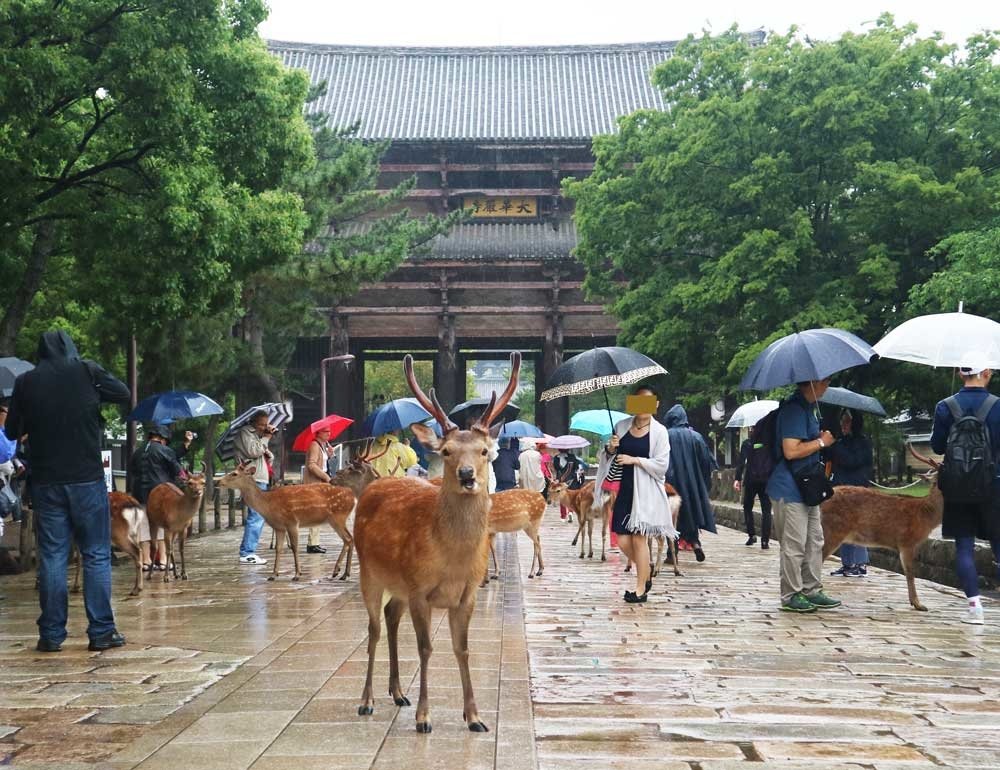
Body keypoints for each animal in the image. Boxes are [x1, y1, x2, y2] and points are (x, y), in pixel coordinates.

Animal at [218, 462, 356, 584]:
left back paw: (338, 572)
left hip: (338, 517)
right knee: (350, 539)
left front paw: (297, 575)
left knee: (348, 539)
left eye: (234, 473)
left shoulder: (292, 522)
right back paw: (344, 574)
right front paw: (273, 575)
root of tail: (353, 498)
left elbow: (294, 547)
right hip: (337, 519)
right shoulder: (279, 527)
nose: (218, 482)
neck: (268, 505)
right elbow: (278, 548)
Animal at [354, 352, 524, 728]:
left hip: (398, 585)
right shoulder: (420, 590)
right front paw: (423, 717)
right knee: (373, 628)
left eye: (484, 451)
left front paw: (474, 716)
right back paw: (367, 700)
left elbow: (462, 648)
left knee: (390, 615)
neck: (453, 563)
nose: (466, 475)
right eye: (446, 451)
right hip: (369, 573)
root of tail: (374, 485)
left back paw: (397, 692)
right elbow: (426, 648)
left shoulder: (466, 594)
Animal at [820, 444, 944, 612]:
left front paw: (915, 603)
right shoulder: (907, 541)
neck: (925, 515)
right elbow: (910, 573)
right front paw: (918, 604)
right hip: (833, 530)